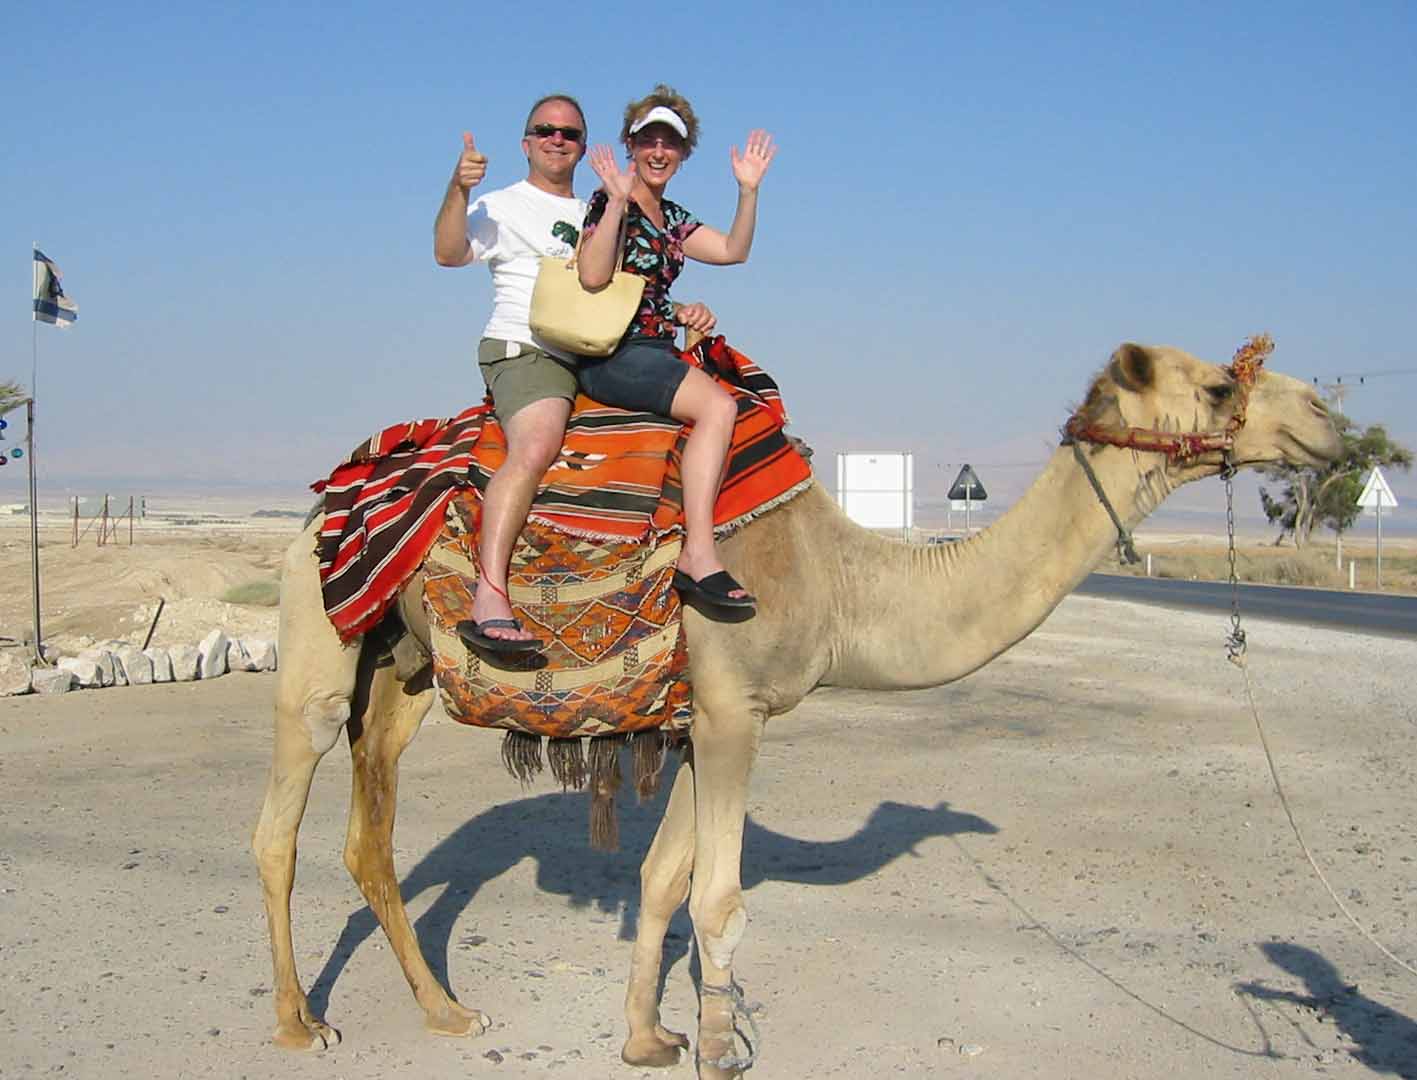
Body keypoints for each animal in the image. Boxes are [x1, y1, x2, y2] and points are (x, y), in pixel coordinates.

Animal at [252, 340, 1341, 1078]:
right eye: (1220, 385)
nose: (1328, 417)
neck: (842, 578)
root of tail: (328, 494)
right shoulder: (735, 712)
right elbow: (720, 902)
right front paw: (720, 1052)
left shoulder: (701, 723)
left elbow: (663, 883)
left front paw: (649, 1038)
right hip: (319, 632)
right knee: (281, 822)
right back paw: (301, 1023)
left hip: (404, 670)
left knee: (370, 832)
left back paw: (446, 1013)